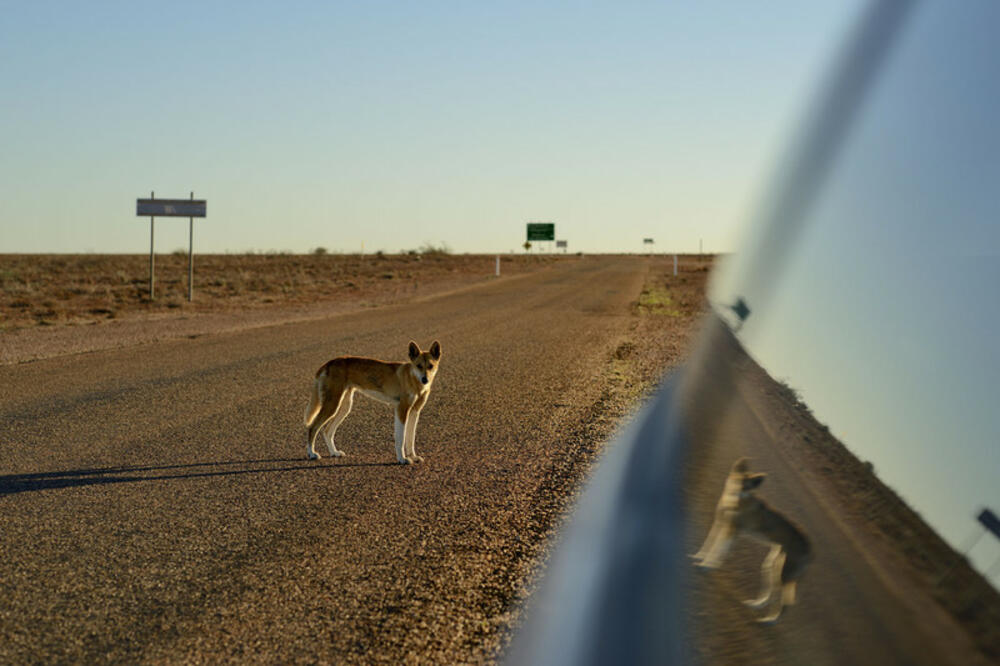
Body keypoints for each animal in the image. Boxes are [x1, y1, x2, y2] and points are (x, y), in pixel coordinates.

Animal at [304, 342, 442, 462]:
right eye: (419, 366)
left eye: (430, 366)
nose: (425, 379)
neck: (413, 379)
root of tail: (328, 363)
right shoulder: (401, 410)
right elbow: (401, 438)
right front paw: (402, 459)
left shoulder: (414, 411)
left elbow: (410, 438)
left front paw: (413, 457)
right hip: (332, 405)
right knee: (313, 427)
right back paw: (312, 454)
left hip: (344, 407)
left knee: (327, 431)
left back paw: (334, 452)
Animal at [696, 456, 812, 624]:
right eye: (737, 481)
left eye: (746, 487)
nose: (736, 493)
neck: (734, 502)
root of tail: (811, 549)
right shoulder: (720, 523)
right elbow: (708, 545)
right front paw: (698, 557)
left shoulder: (731, 532)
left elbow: (717, 550)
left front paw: (706, 566)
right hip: (771, 567)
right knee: (771, 594)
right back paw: (756, 606)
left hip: (782, 574)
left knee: (784, 603)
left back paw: (770, 620)